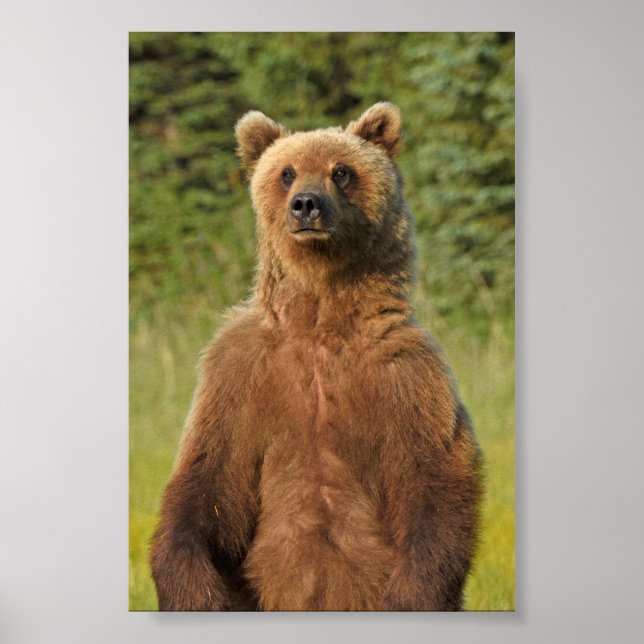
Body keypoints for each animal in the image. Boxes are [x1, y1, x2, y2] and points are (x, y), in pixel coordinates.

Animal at [150, 102, 483, 611]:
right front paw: (195, 591)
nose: (306, 204)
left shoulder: (408, 376)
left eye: (341, 171)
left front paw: (409, 597)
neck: (321, 317)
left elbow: (434, 484)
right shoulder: (240, 373)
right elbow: (209, 479)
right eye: (286, 172)